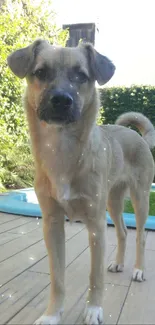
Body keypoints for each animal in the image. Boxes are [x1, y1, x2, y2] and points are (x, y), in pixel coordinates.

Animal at [7, 40, 155, 324]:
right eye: (40, 72)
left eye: (82, 76)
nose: (61, 100)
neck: (62, 150)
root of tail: (137, 135)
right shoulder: (52, 224)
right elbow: (57, 278)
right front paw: (52, 314)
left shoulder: (96, 225)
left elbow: (94, 276)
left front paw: (94, 310)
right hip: (113, 201)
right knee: (122, 232)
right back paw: (119, 263)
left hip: (140, 199)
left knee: (140, 236)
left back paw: (138, 269)